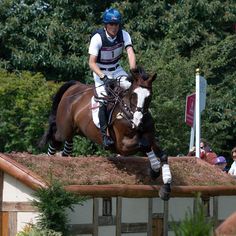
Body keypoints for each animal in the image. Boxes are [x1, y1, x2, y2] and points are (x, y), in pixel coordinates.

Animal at [40, 67, 171, 201]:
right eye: (134, 95)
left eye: (149, 97)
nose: (137, 121)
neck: (128, 112)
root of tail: (75, 86)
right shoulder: (123, 147)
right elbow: (144, 145)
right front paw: (155, 171)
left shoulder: (150, 137)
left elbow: (162, 154)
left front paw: (165, 187)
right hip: (64, 130)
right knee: (55, 139)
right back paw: (49, 164)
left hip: (73, 131)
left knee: (67, 147)